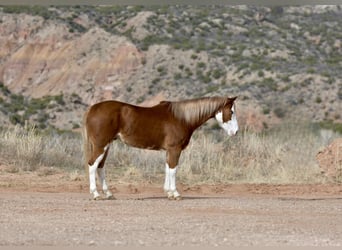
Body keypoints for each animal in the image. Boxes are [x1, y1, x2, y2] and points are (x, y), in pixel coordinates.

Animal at [83, 94, 238, 200]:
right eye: (231, 112)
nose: (235, 132)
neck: (182, 118)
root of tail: (92, 109)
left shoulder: (169, 150)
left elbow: (168, 169)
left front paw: (168, 192)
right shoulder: (175, 149)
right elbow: (173, 169)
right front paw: (175, 194)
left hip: (106, 145)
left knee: (100, 166)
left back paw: (109, 194)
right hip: (101, 145)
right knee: (92, 165)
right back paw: (96, 194)